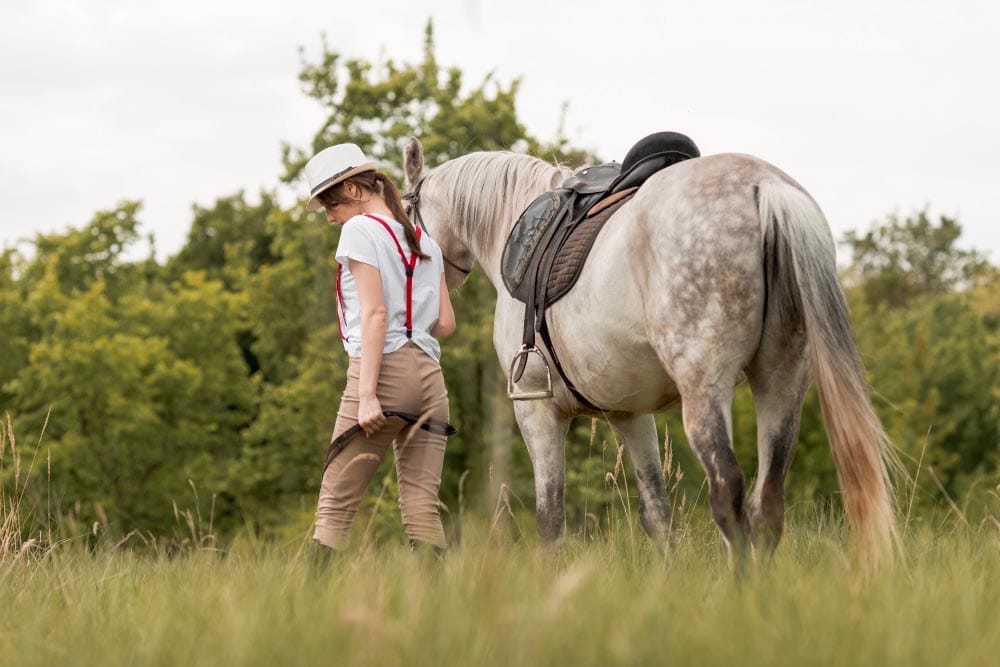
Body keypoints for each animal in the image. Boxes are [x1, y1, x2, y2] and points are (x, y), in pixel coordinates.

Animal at [402, 137, 898, 570]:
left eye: (404, 214)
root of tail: (764, 187)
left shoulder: (536, 409)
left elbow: (550, 518)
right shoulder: (631, 414)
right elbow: (657, 513)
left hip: (705, 390)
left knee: (728, 492)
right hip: (782, 382)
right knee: (768, 501)